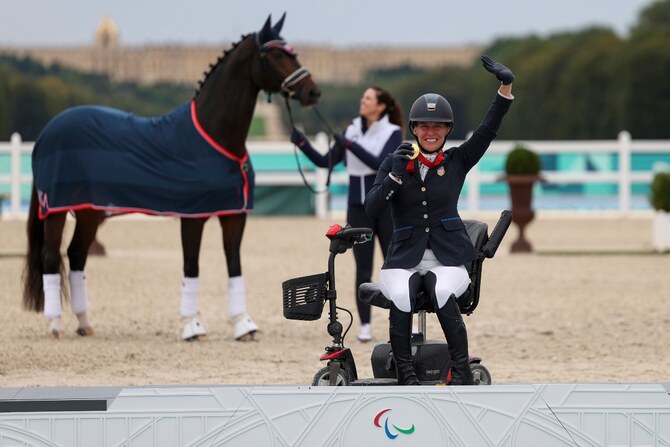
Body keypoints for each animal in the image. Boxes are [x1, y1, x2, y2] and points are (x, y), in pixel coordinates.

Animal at [22, 14, 322, 344]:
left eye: (293, 52)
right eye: (278, 54)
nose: (312, 91)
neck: (215, 137)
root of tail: (48, 130)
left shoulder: (234, 215)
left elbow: (234, 266)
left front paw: (244, 324)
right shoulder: (193, 216)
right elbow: (191, 267)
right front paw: (193, 326)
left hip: (90, 211)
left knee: (76, 256)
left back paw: (85, 323)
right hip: (56, 210)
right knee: (51, 258)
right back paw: (55, 325)